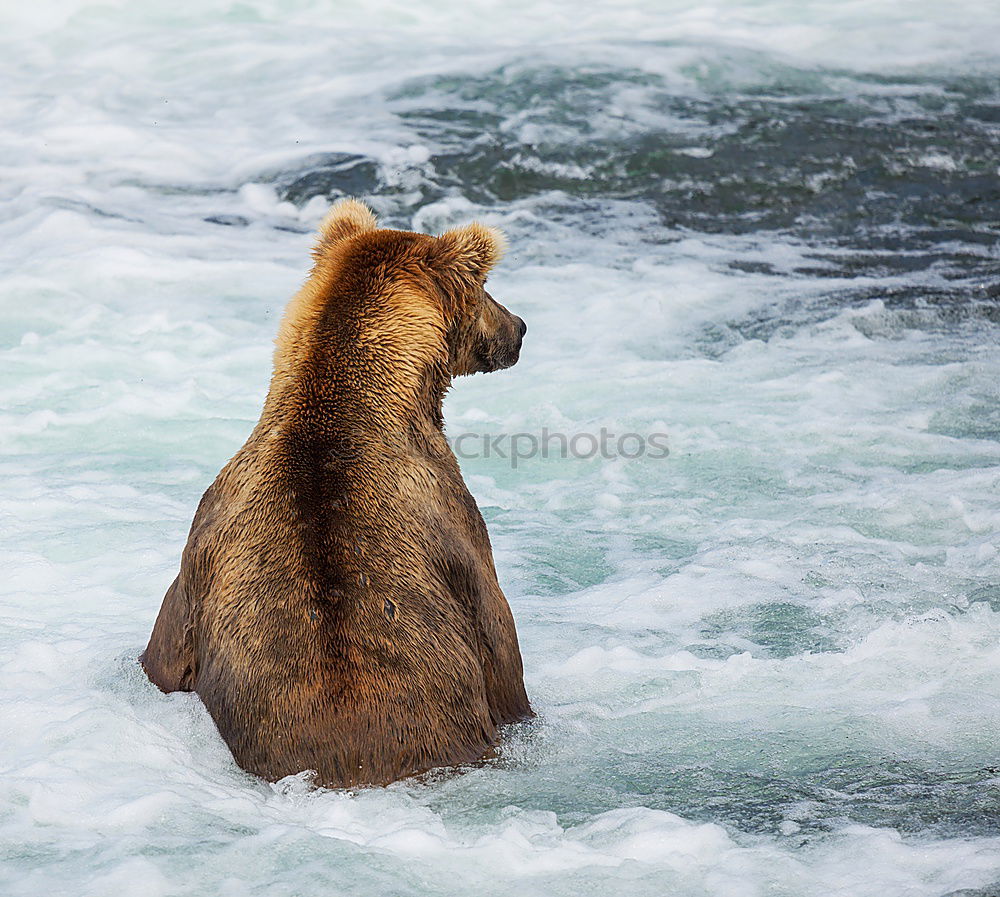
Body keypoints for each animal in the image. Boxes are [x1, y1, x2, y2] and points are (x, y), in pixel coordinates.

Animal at [142, 198, 536, 784]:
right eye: (485, 283)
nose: (520, 327)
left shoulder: (205, 539)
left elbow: (162, 655)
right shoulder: (455, 523)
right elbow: (502, 655)